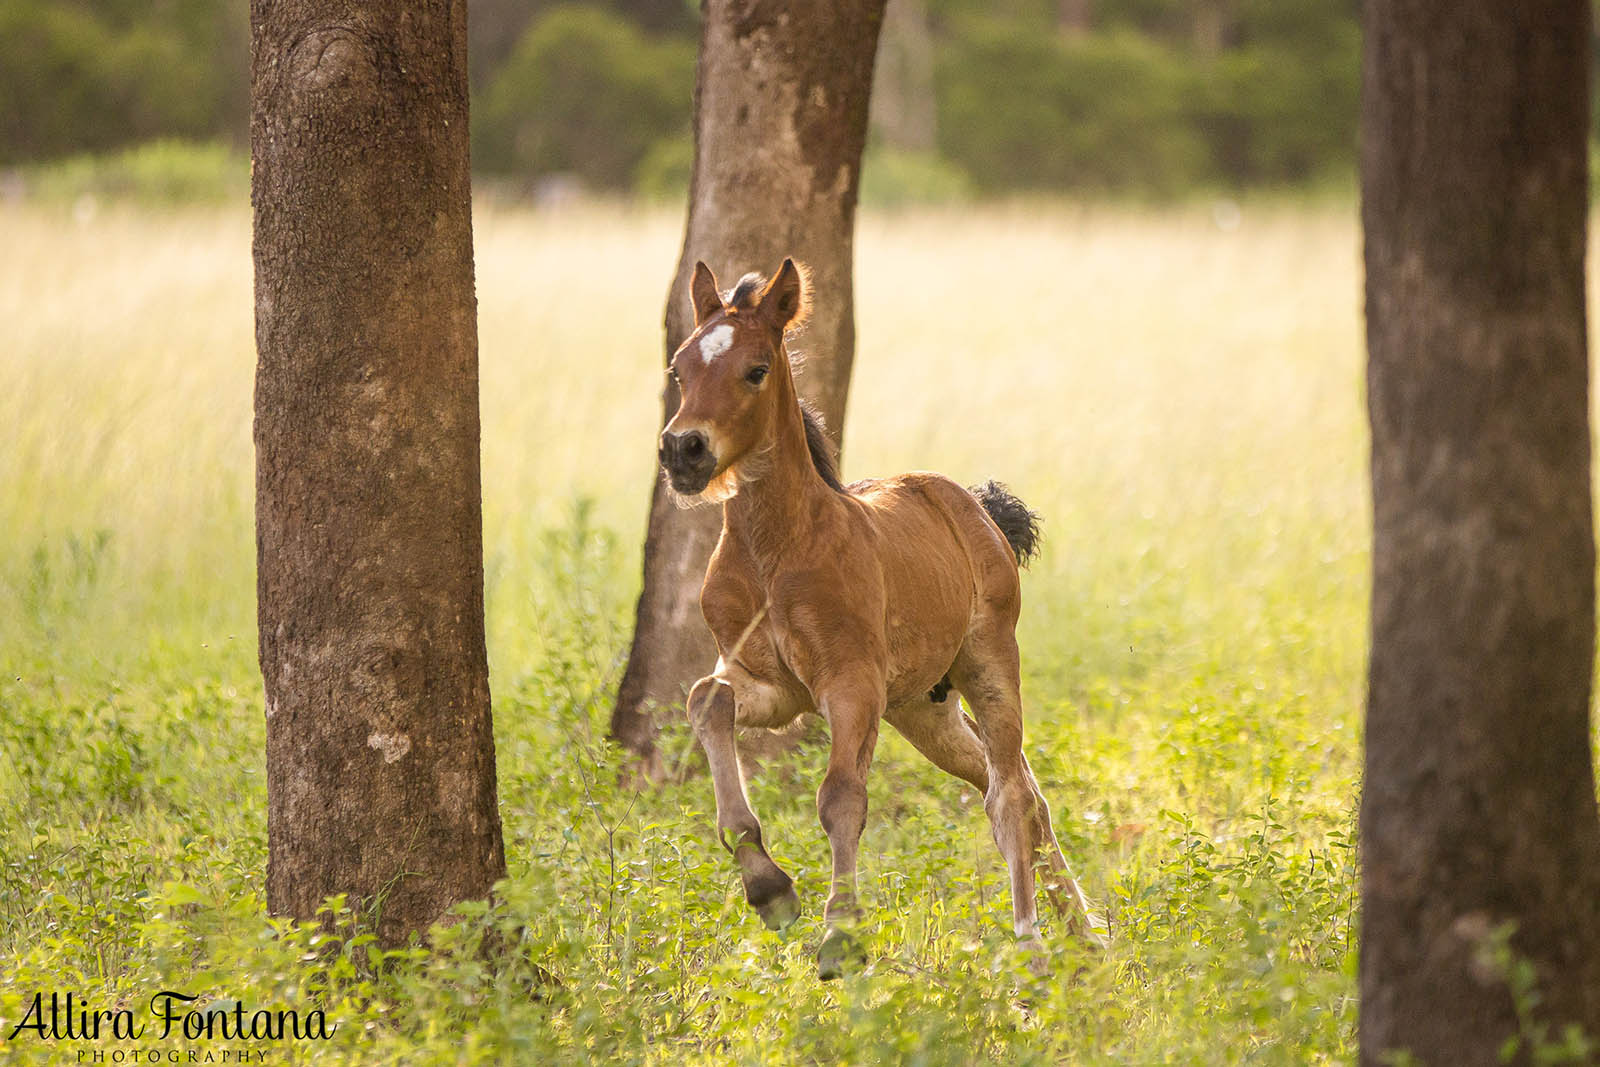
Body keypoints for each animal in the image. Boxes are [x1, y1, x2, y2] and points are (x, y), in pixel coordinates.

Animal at [656, 255, 1107, 979]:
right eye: (679, 368)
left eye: (756, 368)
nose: (684, 451)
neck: (774, 551)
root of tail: (974, 505)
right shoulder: (775, 689)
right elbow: (706, 699)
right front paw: (769, 887)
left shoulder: (851, 683)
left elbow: (841, 795)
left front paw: (840, 934)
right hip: (923, 708)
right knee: (1015, 783)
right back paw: (1085, 935)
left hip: (987, 660)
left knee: (1008, 793)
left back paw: (1033, 945)